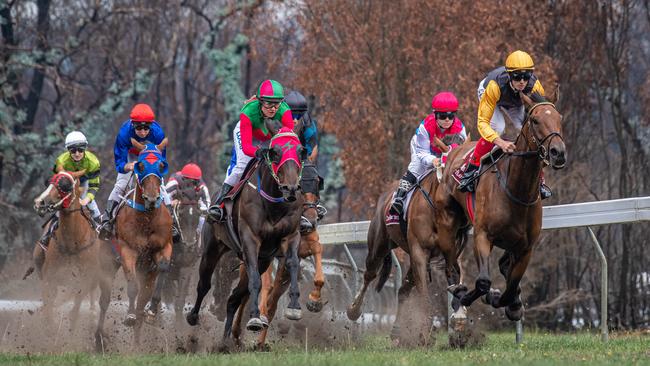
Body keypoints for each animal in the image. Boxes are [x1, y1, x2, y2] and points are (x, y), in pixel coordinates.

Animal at [33, 171, 100, 328]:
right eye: (48, 182)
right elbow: (48, 314)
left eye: (65, 185)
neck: (72, 244)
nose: (40, 202)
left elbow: (74, 314)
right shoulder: (49, 280)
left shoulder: (82, 282)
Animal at [93, 139, 172, 350]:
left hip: (147, 272)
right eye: (140, 166)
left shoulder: (164, 247)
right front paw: (128, 316)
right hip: (107, 265)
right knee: (104, 301)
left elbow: (163, 268)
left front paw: (152, 310)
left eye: (161, 165)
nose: (152, 198)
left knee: (141, 303)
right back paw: (99, 339)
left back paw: (136, 344)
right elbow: (132, 287)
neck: (147, 218)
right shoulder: (128, 251)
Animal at [185, 129, 306, 352]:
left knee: (233, 298)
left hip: (263, 260)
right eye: (275, 153)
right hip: (212, 248)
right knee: (204, 284)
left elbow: (293, 264)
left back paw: (225, 342)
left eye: (301, 152)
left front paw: (294, 307)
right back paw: (193, 317)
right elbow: (255, 281)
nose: (291, 189)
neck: (274, 204)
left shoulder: (292, 236)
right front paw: (255, 319)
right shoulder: (250, 239)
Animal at [344, 150, 466, 348]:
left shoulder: (449, 252)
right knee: (369, 275)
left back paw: (396, 332)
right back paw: (353, 310)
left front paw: (459, 324)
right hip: (378, 245)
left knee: (402, 290)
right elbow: (424, 291)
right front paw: (426, 333)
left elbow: (454, 280)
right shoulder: (419, 252)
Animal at [432, 91, 564, 320]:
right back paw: (457, 292)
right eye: (535, 120)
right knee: (451, 266)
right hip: (447, 222)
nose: (558, 152)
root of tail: (452, 152)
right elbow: (484, 282)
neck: (516, 191)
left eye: (560, 118)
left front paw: (511, 304)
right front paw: (473, 296)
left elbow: (510, 287)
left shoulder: (525, 248)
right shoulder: (482, 235)